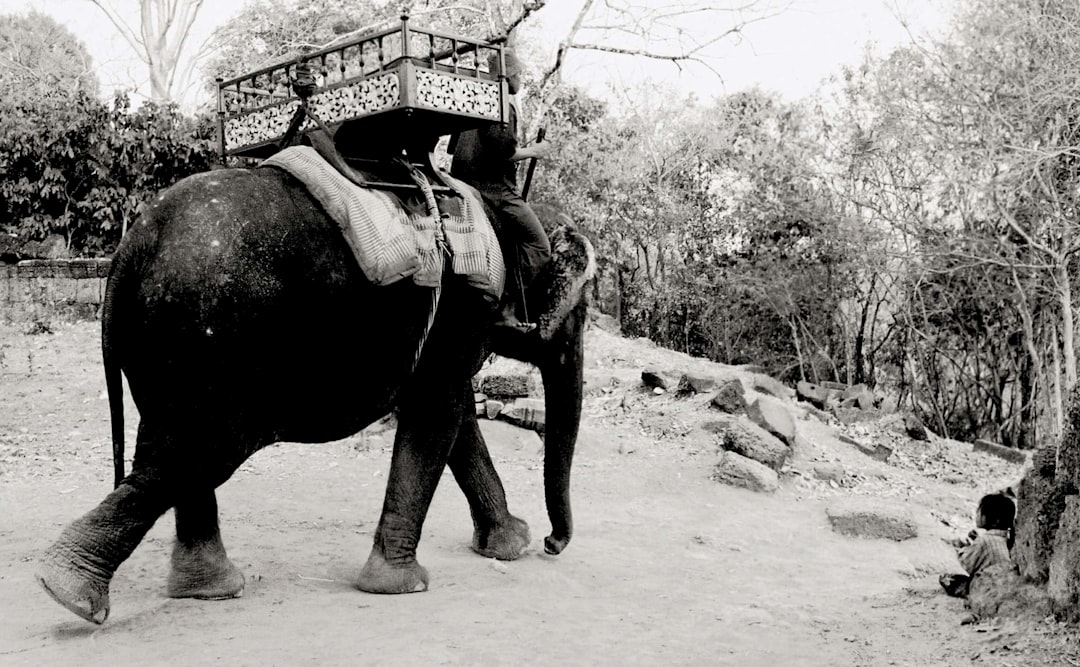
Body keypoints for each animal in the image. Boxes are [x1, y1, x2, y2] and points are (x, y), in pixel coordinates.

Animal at [35, 161, 591, 621]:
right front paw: (404, 586)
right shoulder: (464, 307)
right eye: (583, 311)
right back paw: (68, 589)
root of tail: (130, 247)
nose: (552, 543)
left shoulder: (448, 328)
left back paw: (206, 590)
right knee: (198, 453)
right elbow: (440, 414)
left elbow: (454, 419)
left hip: (163, 345)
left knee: (167, 446)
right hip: (213, 336)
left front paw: (510, 545)